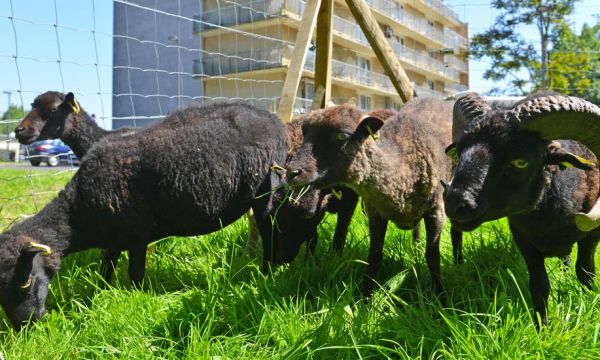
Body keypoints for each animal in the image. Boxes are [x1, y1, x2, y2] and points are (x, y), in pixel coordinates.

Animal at [0, 101, 288, 330]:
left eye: (25, 281)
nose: (25, 327)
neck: (78, 214)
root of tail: (275, 121)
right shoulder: (114, 238)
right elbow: (106, 268)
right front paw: (101, 293)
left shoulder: (138, 235)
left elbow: (135, 274)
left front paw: (135, 299)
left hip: (267, 190)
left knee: (269, 229)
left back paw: (267, 274)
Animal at [286, 99, 454, 296]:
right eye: (304, 133)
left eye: (342, 136)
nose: (292, 173)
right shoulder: (375, 213)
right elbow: (374, 257)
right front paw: (365, 297)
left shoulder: (436, 211)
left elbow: (433, 257)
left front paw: (441, 297)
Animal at [446, 92, 600, 326]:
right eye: (461, 152)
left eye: (520, 162)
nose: (455, 204)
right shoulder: (524, 240)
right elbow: (539, 286)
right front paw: (542, 327)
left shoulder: (592, 234)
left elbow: (585, 272)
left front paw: (590, 299)